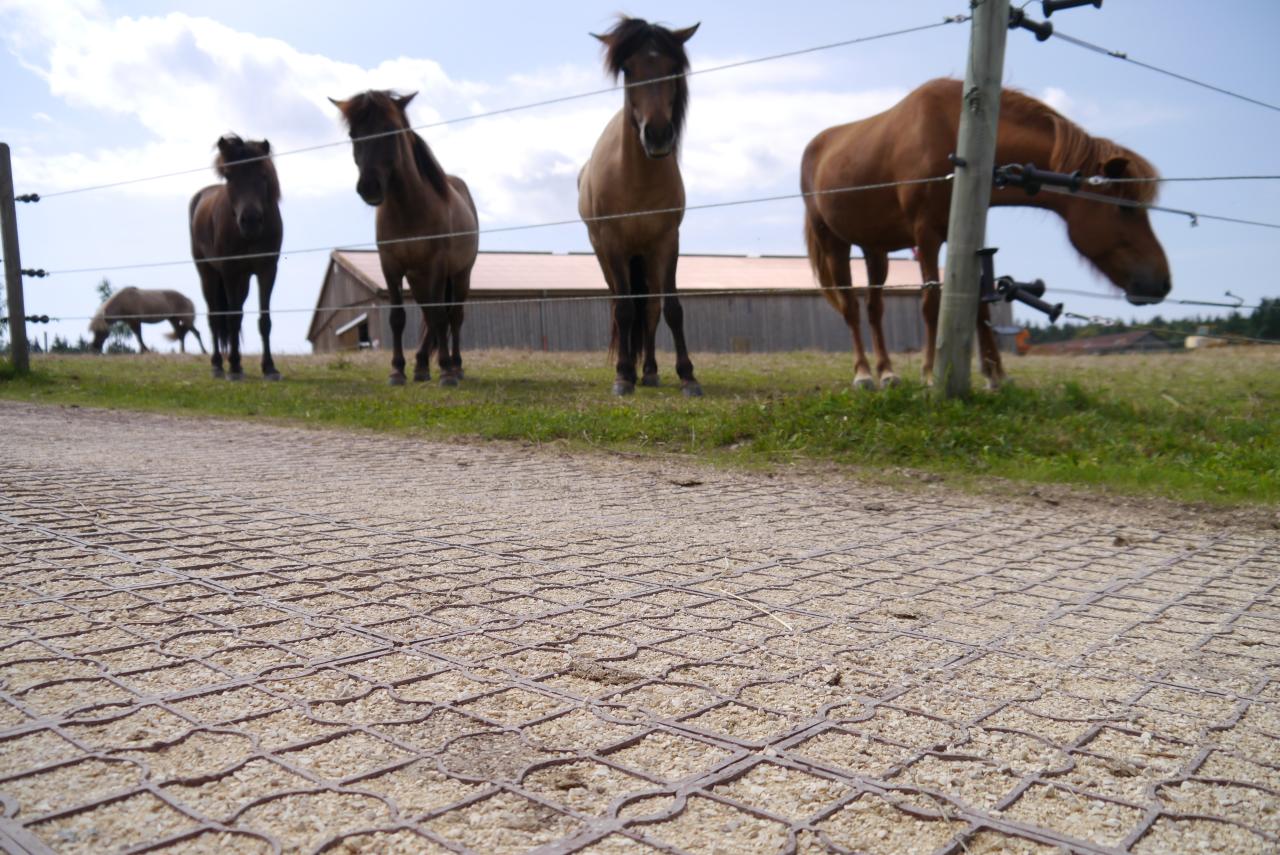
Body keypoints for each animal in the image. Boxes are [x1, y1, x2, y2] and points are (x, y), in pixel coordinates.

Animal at [189, 134, 284, 380]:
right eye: (229, 176)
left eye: (263, 174)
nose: (250, 220)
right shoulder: (230, 271)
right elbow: (231, 318)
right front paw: (232, 366)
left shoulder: (267, 270)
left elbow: (264, 320)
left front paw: (269, 367)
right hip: (208, 275)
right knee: (215, 317)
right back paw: (218, 364)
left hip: (243, 280)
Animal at [330, 90, 478, 386]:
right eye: (353, 134)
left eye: (390, 130)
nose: (369, 187)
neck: (408, 209)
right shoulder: (391, 266)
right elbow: (398, 318)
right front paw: (397, 370)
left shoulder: (436, 265)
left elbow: (441, 317)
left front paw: (446, 372)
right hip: (418, 277)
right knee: (428, 317)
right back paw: (421, 367)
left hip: (459, 274)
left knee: (453, 316)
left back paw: (456, 366)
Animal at [578, 16, 702, 397]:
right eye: (627, 69)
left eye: (672, 66)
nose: (658, 134)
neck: (635, 179)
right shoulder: (614, 245)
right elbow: (624, 311)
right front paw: (622, 375)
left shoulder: (667, 241)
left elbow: (671, 308)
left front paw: (688, 375)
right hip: (607, 255)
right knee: (625, 305)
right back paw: (632, 370)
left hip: (644, 256)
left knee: (649, 307)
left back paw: (647, 370)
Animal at [801, 77, 1171, 390]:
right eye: (1126, 208)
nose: (1162, 283)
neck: (953, 135)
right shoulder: (926, 235)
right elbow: (931, 303)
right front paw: (930, 373)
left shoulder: (967, 237)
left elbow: (979, 303)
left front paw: (996, 375)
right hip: (833, 243)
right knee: (850, 306)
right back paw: (863, 375)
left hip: (875, 248)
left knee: (874, 309)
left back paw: (887, 372)